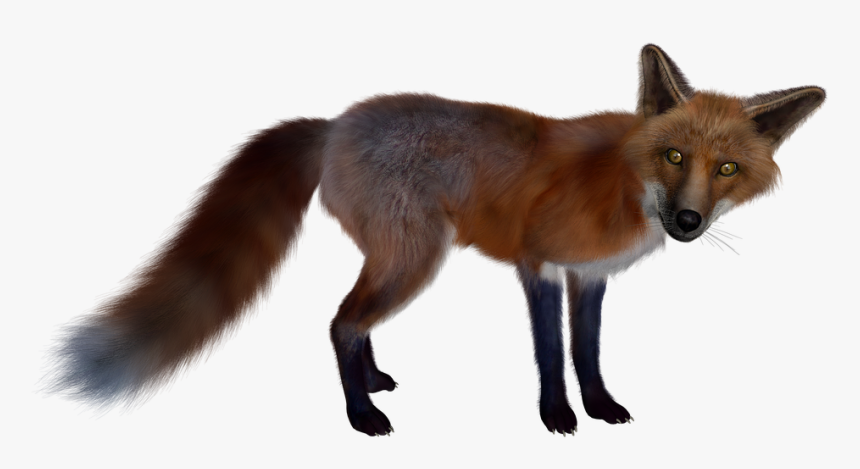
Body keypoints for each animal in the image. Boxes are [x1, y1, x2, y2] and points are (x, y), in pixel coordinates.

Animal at [47, 44, 824, 437]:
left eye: (726, 169)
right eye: (673, 155)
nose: (687, 223)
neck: (622, 181)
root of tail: (334, 124)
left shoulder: (590, 276)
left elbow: (588, 351)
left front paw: (601, 407)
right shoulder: (539, 265)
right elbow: (551, 356)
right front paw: (557, 417)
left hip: (396, 258)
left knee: (353, 321)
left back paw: (372, 381)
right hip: (415, 259)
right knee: (340, 320)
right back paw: (362, 415)